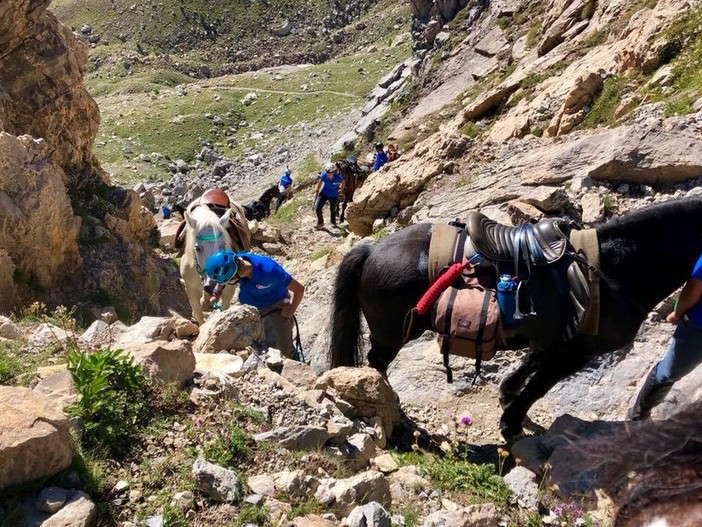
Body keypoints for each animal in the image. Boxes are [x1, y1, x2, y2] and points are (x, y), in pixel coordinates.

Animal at [328, 196, 702, 440]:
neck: (617, 269)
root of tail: (371, 250)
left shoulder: (555, 338)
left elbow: (530, 365)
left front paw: (507, 395)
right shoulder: (578, 352)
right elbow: (540, 385)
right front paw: (511, 423)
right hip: (393, 334)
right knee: (376, 363)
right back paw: (394, 410)